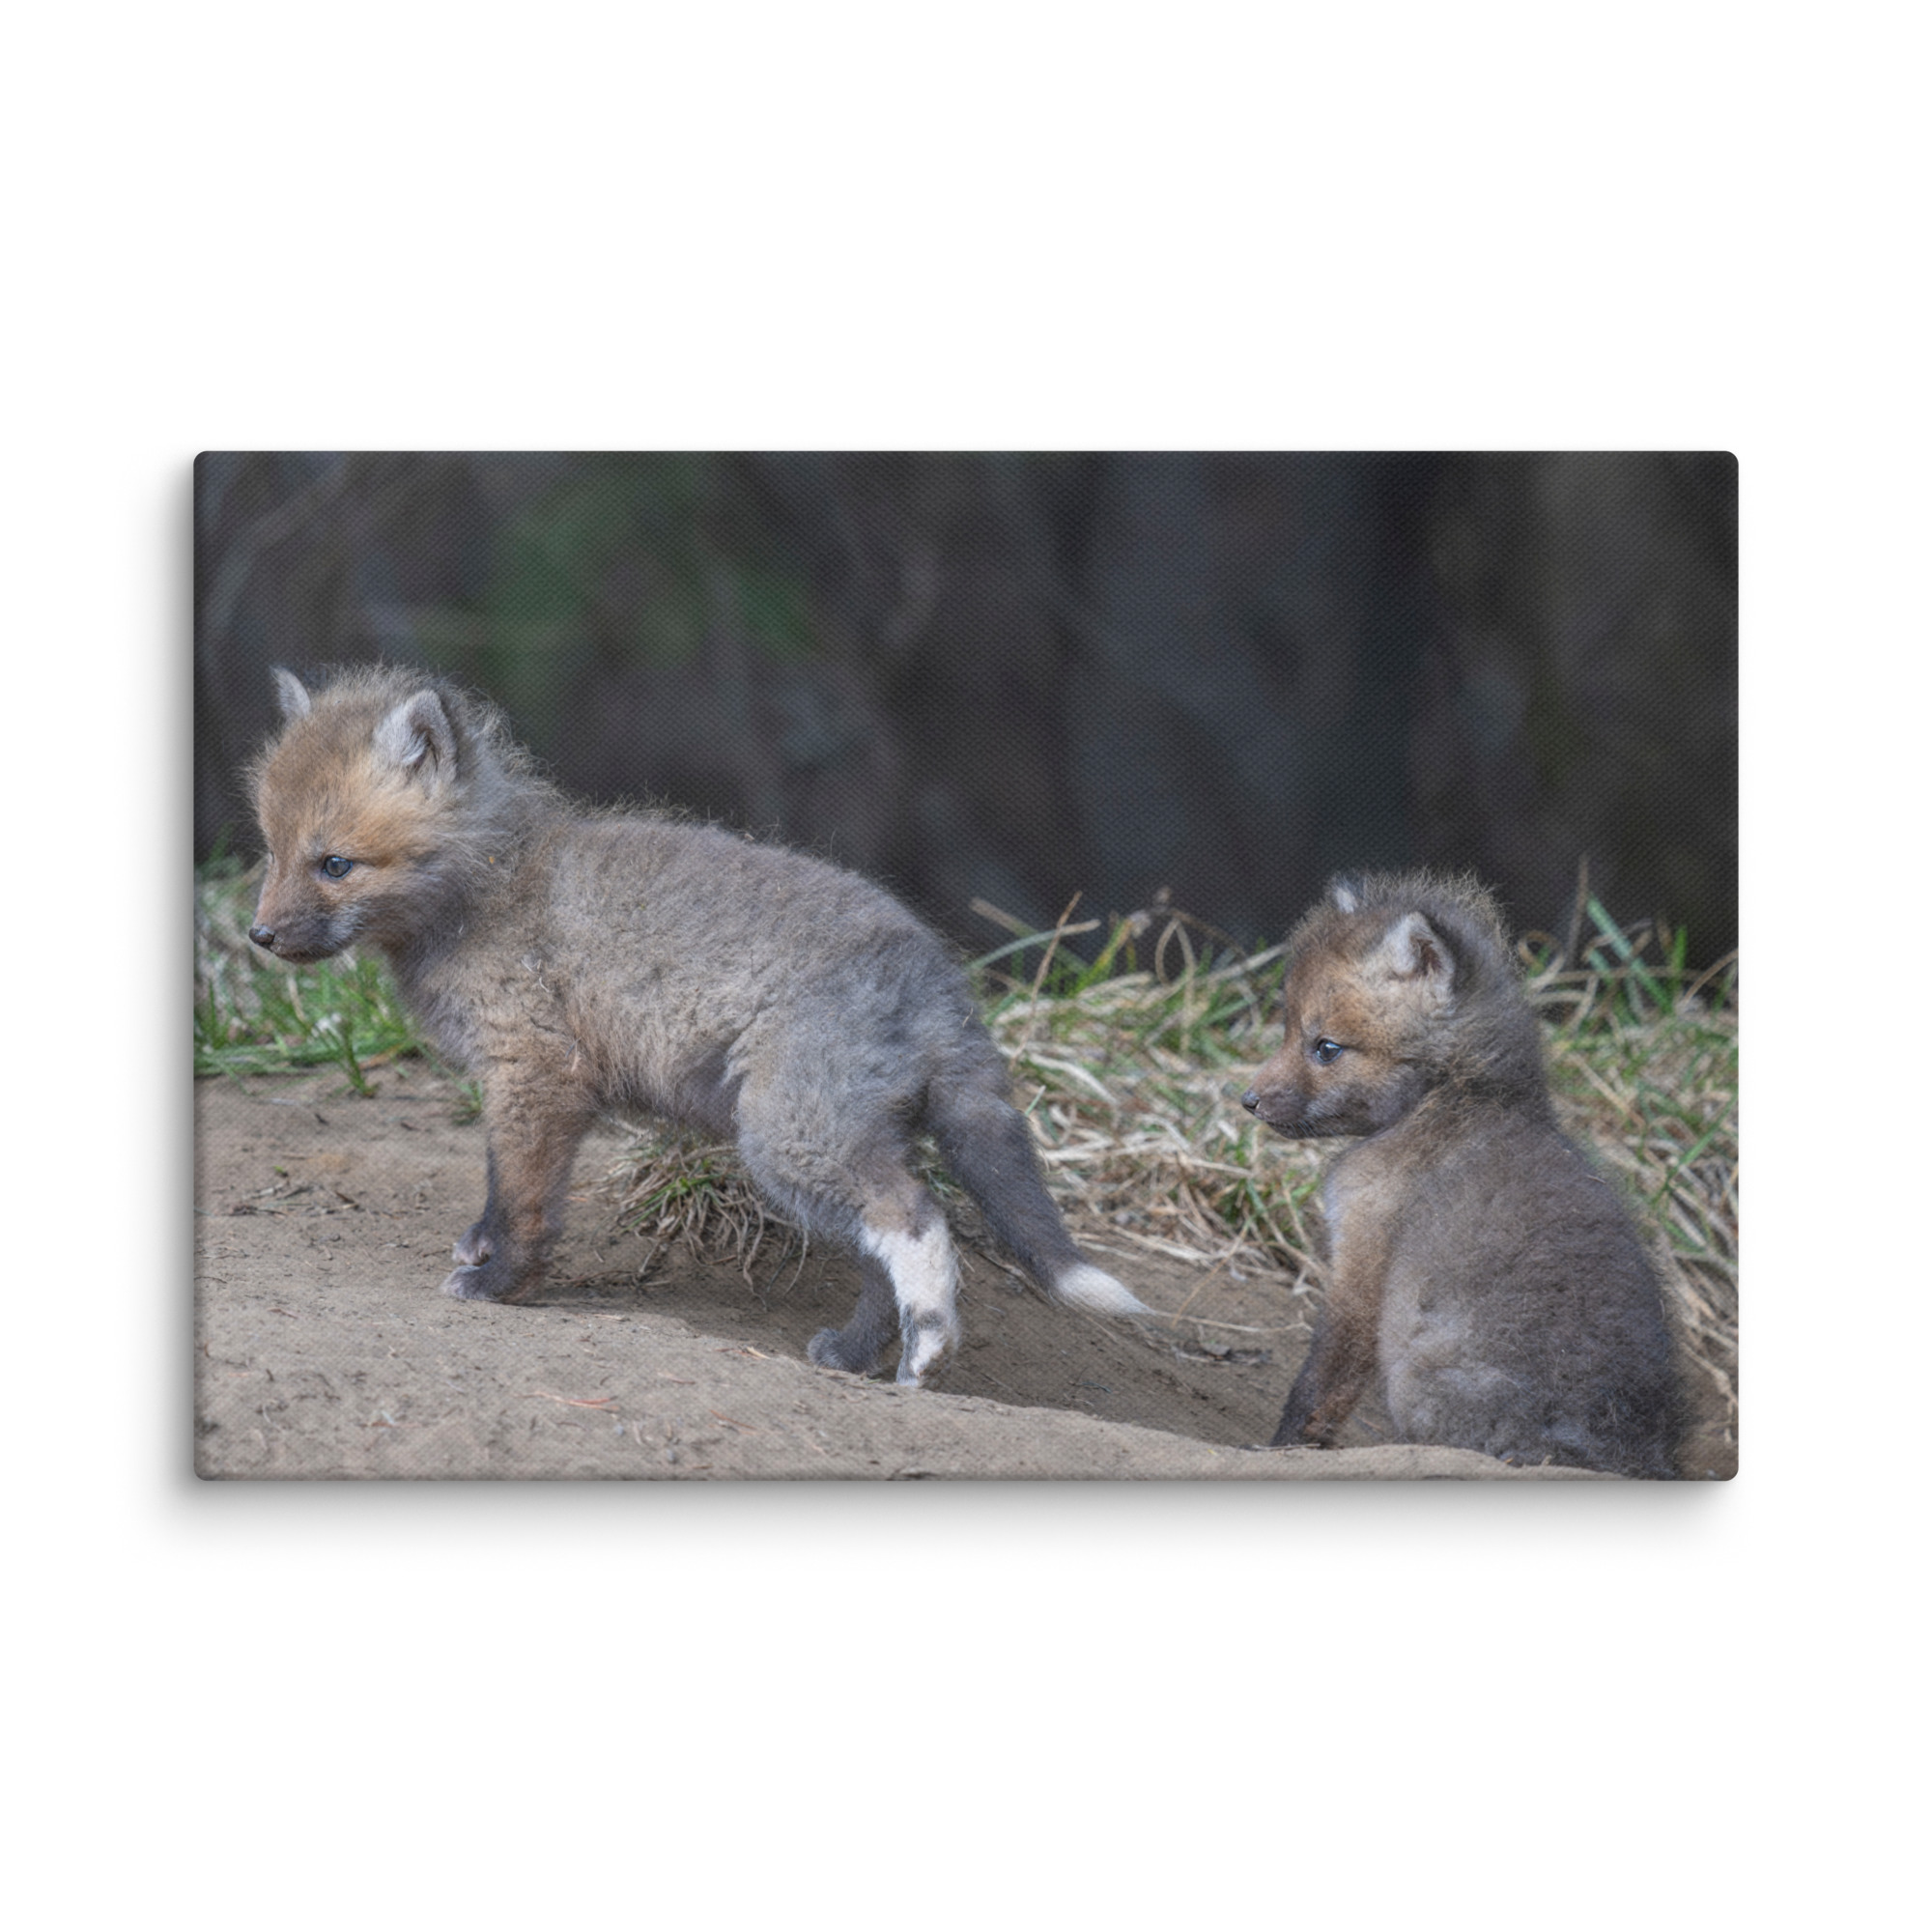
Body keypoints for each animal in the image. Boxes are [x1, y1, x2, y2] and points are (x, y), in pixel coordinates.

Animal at [247, 664, 1147, 1385]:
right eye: (271, 852)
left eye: (335, 864)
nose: (257, 937)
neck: (489, 888)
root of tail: (940, 978)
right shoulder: (528, 1084)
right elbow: (502, 1188)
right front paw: (483, 1249)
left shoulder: (536, 1073)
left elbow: (523, 1198)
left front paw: (501, 1283)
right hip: (831, 1147)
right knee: (879, 1255)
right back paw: (857, 1356)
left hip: (789, 1140)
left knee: (917, 1221)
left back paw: (928, 1351)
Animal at [1240, 871, 1679, 1478]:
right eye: (1287, 1031)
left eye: (1326, 1048)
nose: (1248, 1101)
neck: (1453, 1097)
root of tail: (1627, 1454)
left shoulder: (1363, 1262)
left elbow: (1319, 1385)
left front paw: (1280, 1450)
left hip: (1416, 1379)